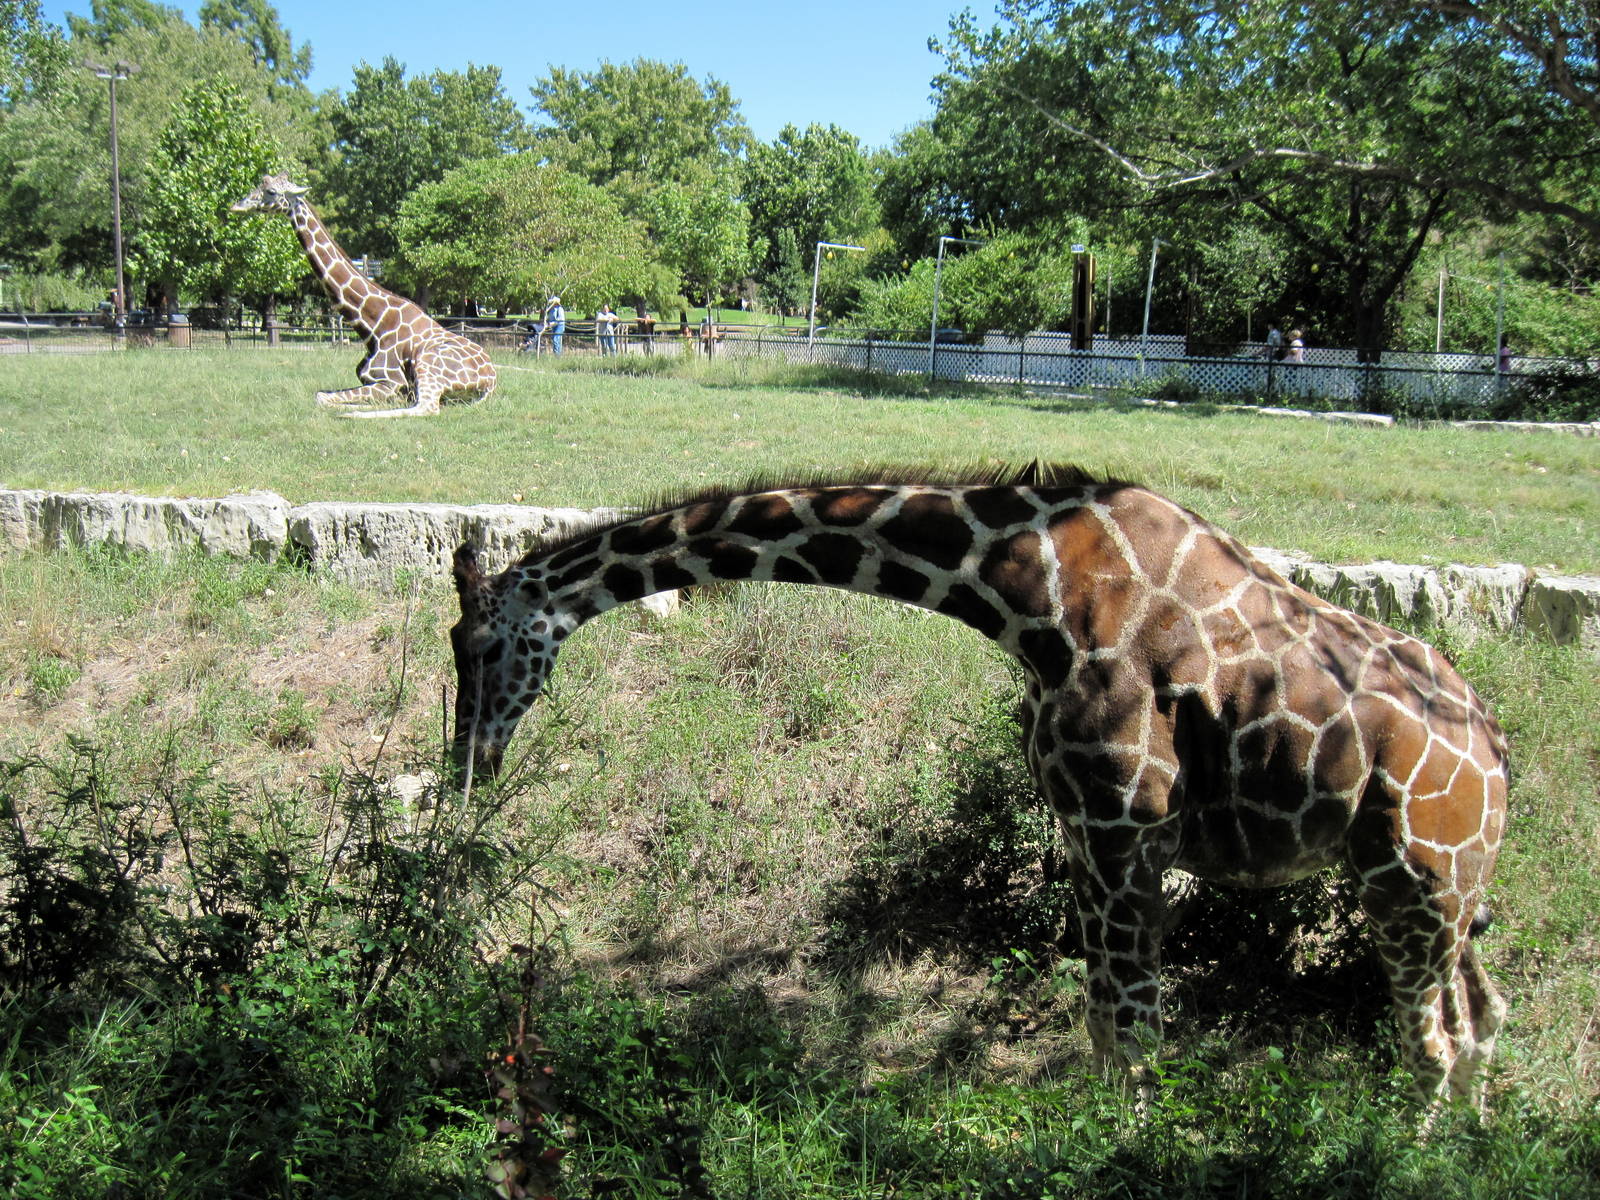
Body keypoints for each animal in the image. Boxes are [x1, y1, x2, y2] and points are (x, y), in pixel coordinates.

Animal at [231, 173, 496, 418]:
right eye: (261, 182)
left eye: (271, 192)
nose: (237, 205)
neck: (372, 325)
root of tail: (491, 382)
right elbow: (322, 395)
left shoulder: (391, 382)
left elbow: (322, 397)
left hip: (428, 364)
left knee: (426, 408)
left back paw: (352, 413)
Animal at [447, 465, 1509, 1108]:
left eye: (479, 644)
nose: (468, 770)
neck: (1026, 589)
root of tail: (1499, 762)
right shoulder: (1083, 832)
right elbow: (1105, 1023)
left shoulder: (1124, 827)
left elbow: (1133, 1032)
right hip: (1434, 895)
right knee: (1479, 1023)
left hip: (1412, 883)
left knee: (1431, 1042)